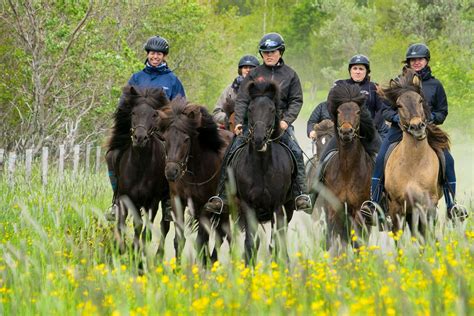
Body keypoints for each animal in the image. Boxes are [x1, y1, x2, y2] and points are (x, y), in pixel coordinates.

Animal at [108, 85, 171, 266]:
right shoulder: (125, 198)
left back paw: (157, 256)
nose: (139, 137)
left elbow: (144, 229)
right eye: (133, 113)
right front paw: (119, 249)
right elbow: (123, 224)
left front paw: (137, 256)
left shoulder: (152, 202)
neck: (140, 166)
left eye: (154, 114)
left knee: (164, 226)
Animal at [157, 98, 233, 264]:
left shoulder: (207, 205)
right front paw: (177, 268)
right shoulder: (178, 201)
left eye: (186, 139)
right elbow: (179, 240)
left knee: (222, 234)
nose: (171, 171)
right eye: (165, 138)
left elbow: (201, 241)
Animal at [318, 82, 378, 251]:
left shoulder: (359, 212)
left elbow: (358, 242)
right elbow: (336, 241)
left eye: (358, 112)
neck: (347, 171)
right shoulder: (334, 211)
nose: (346, 131)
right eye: (338, 111)